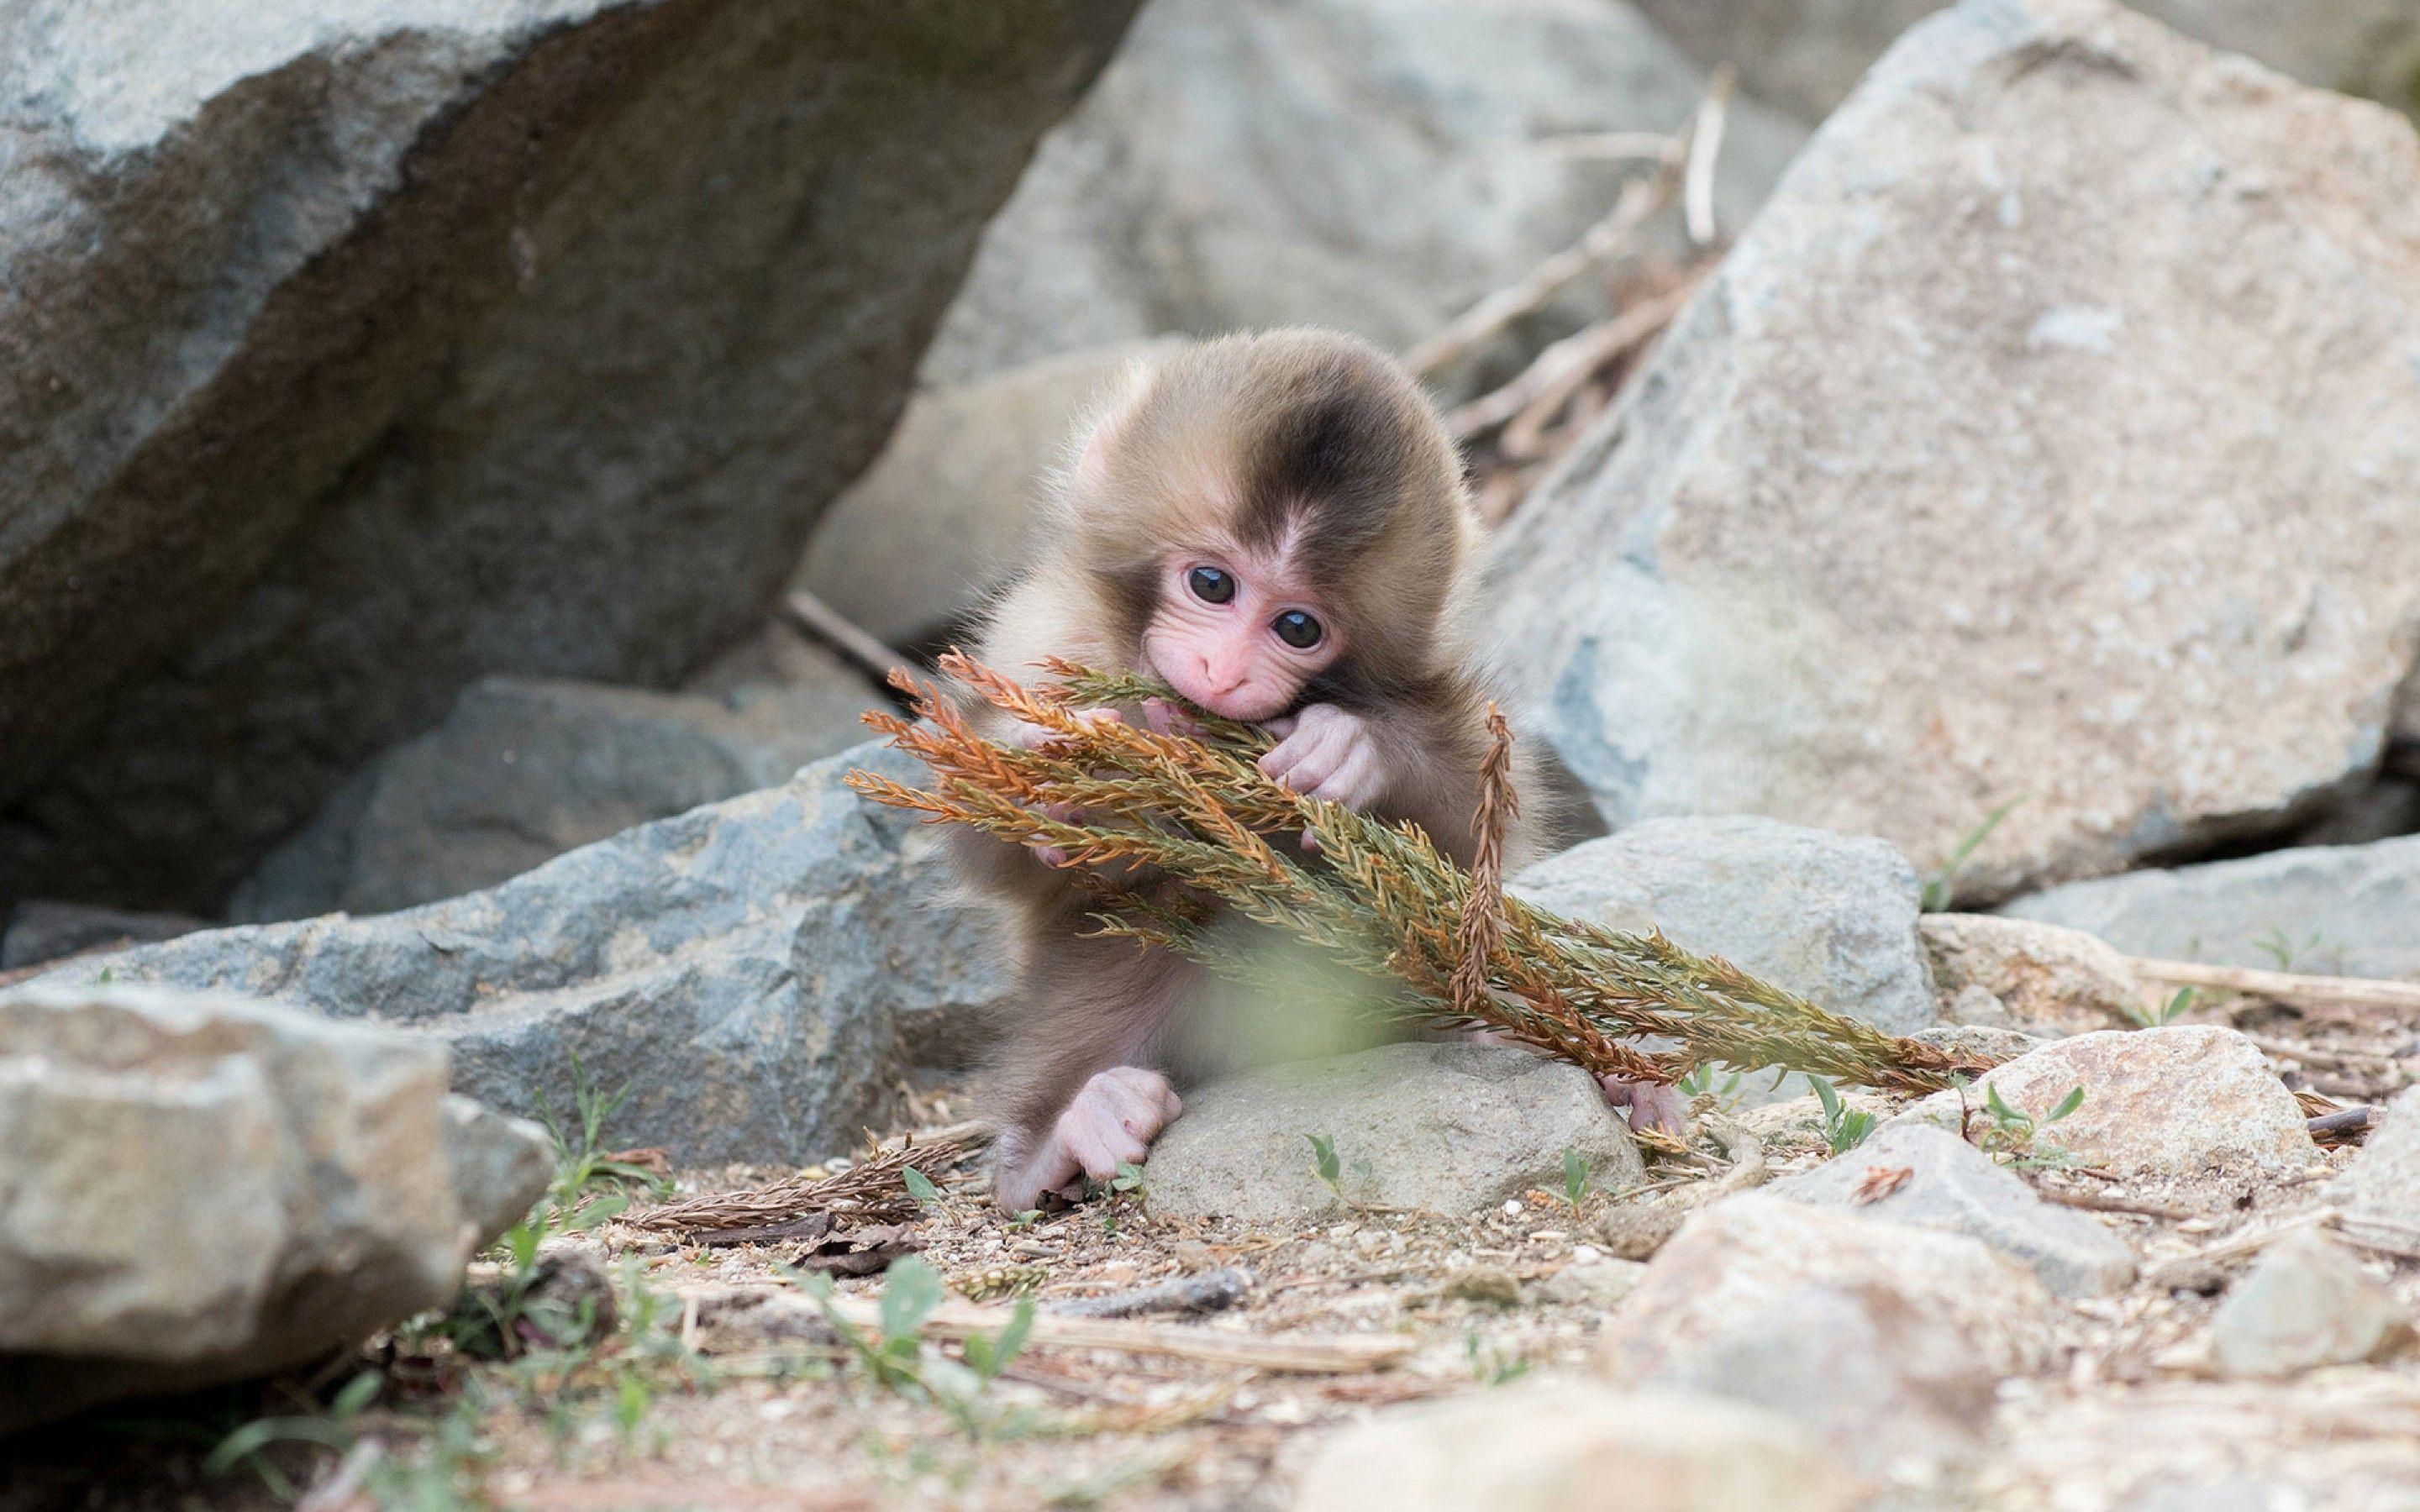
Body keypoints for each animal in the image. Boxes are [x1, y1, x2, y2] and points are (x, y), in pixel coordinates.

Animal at [954, 328, 1683, 1211]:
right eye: (1212, 584)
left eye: (1298, 627)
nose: (1225, 671)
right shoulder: (1042, 638)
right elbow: (990, 854)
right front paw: (1054, 767)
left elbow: (1473, 836)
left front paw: (1348, 746)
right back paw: (1062, 1137)